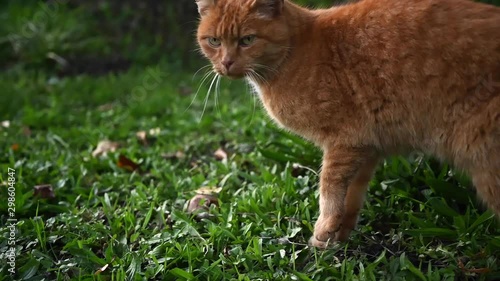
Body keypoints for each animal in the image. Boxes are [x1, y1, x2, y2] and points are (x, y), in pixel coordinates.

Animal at [195, 0, 500, 246]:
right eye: (214, 41)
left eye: (247, 39)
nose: (226, 63)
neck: (296, 50)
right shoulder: (366, 146)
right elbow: (353, 192)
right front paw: (339, 232)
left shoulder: (344, 140)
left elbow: (329, 185)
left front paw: (323, 228)